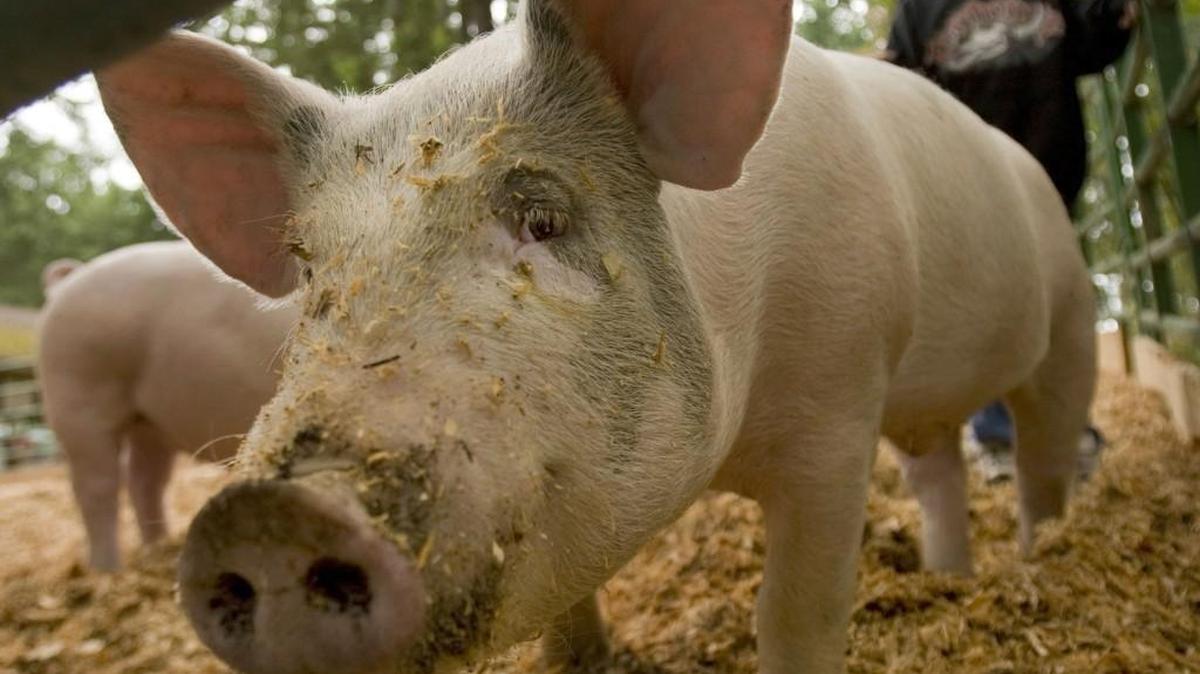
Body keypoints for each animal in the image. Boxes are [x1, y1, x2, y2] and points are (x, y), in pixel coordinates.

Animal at [37, 241, 295, 571]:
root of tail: (68, 280)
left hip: (149, 421)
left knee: (144, 479)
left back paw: (157, 551)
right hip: (78, 393)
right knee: (97, 486)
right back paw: (107, 571)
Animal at [94, 1, 1096, 671]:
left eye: (543, 218)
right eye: (308, 270)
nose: (264, 514)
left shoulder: (840, 401)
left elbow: (797, 610)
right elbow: (570, 625)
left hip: (1071, 316)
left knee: (1043, 458)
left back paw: (1042, 556)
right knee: (938, 467)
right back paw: (953, 574)